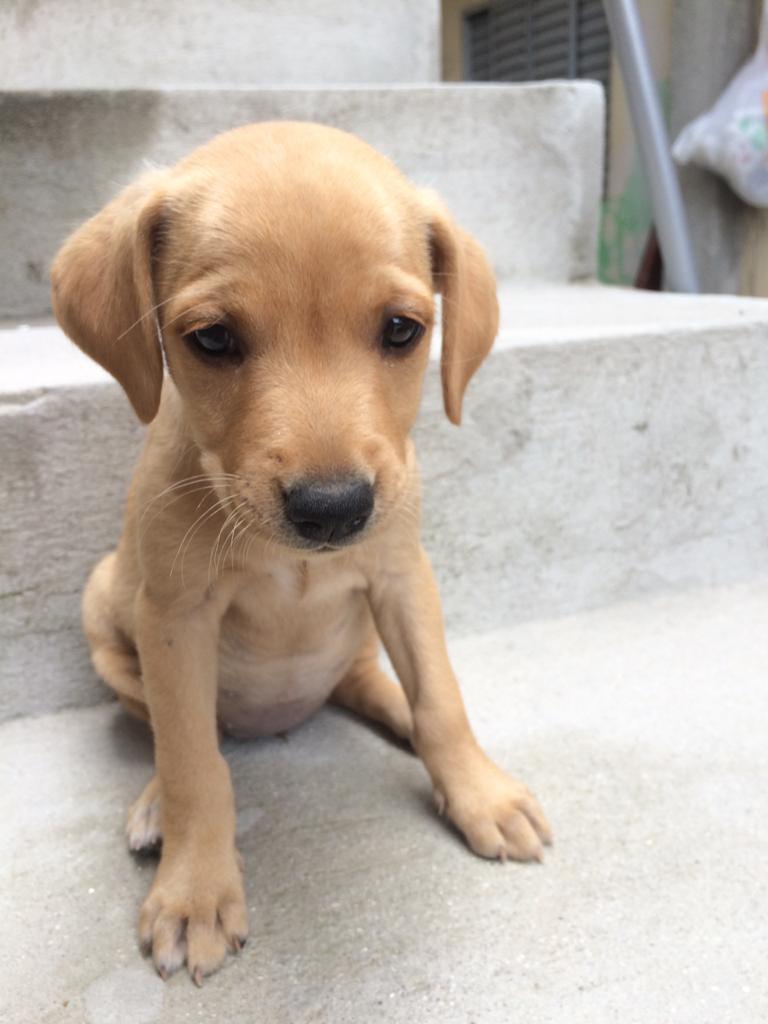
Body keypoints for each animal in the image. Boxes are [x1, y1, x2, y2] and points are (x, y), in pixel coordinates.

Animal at [49, 121, 552, 983]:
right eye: (213, 339)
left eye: (402, 330)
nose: (333, 509)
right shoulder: (175, 615)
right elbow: (193, 762)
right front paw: (194, 890)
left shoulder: (402, 576)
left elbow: (441, 699)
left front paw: (478, 791)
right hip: (107, 611)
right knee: (171, 730)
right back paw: (153, 804)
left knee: (375, 685)